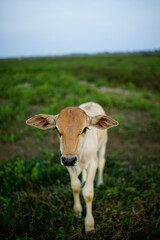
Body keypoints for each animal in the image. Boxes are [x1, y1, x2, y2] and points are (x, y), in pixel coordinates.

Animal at [26, 101, 119, 232]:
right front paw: (77, 212)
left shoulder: (93, 163)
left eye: (85, 128)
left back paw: (100, 183)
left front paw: (89, 225)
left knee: (102, 162)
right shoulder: (68, 164)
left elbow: (88, 193)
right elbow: (75, 186)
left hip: (103, 144)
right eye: (57, 129)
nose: (69, 159)